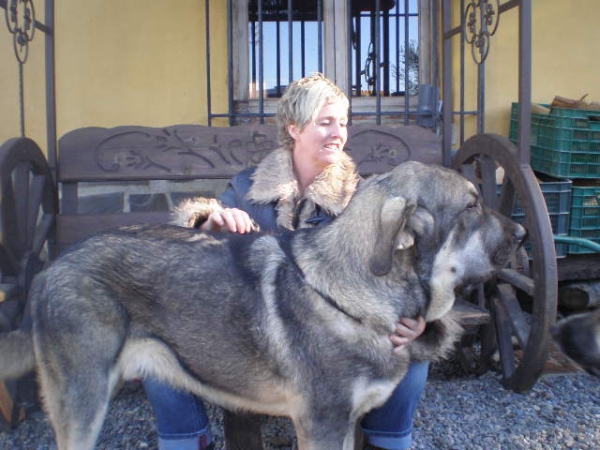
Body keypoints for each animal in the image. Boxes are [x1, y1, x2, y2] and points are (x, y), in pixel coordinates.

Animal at [0, 162, 524, 450]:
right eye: (471, 206)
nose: (522, 233)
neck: (349, 294)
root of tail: (48, 270)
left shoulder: (345, 424)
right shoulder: (322, 426)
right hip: (83, 404)